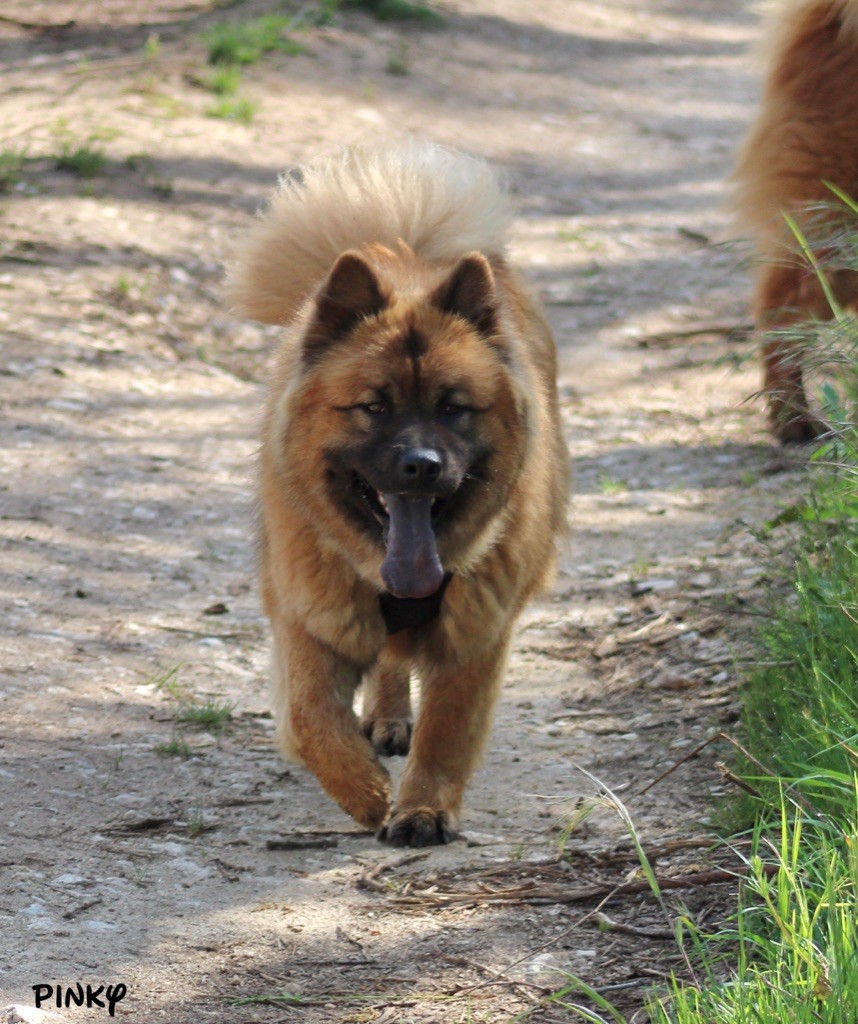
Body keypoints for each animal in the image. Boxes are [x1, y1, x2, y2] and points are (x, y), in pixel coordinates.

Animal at [228, 142, 569, 847]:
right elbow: (309, 717)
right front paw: (363, 791)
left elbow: (447, 731)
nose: (420, 466)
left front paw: (422, 810)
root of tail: (411, 247)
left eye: (453, 407)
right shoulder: (310, 619)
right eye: (375, 406)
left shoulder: (476, 635)